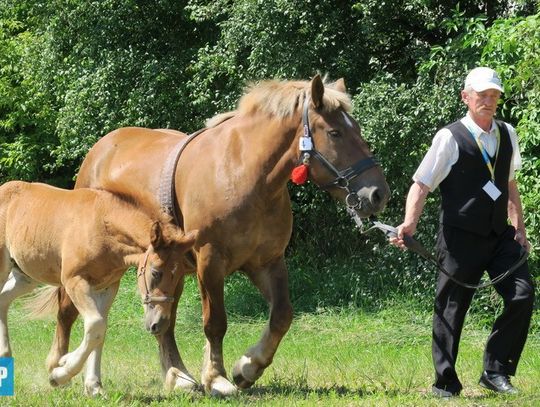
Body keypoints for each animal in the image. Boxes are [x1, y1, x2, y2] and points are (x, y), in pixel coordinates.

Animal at [51, 75, 388, 396]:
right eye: (335, 133)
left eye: (356, 129)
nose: (378, 194)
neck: (244, 175)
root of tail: (99, 151)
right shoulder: (210, 262)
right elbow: (215, 323)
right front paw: (217, 378)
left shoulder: (268, 262)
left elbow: (282, 316)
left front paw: (248, 367)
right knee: (67, 312)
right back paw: (60, 368)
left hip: (167, 273)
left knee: (163, 323)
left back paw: (177, 376)